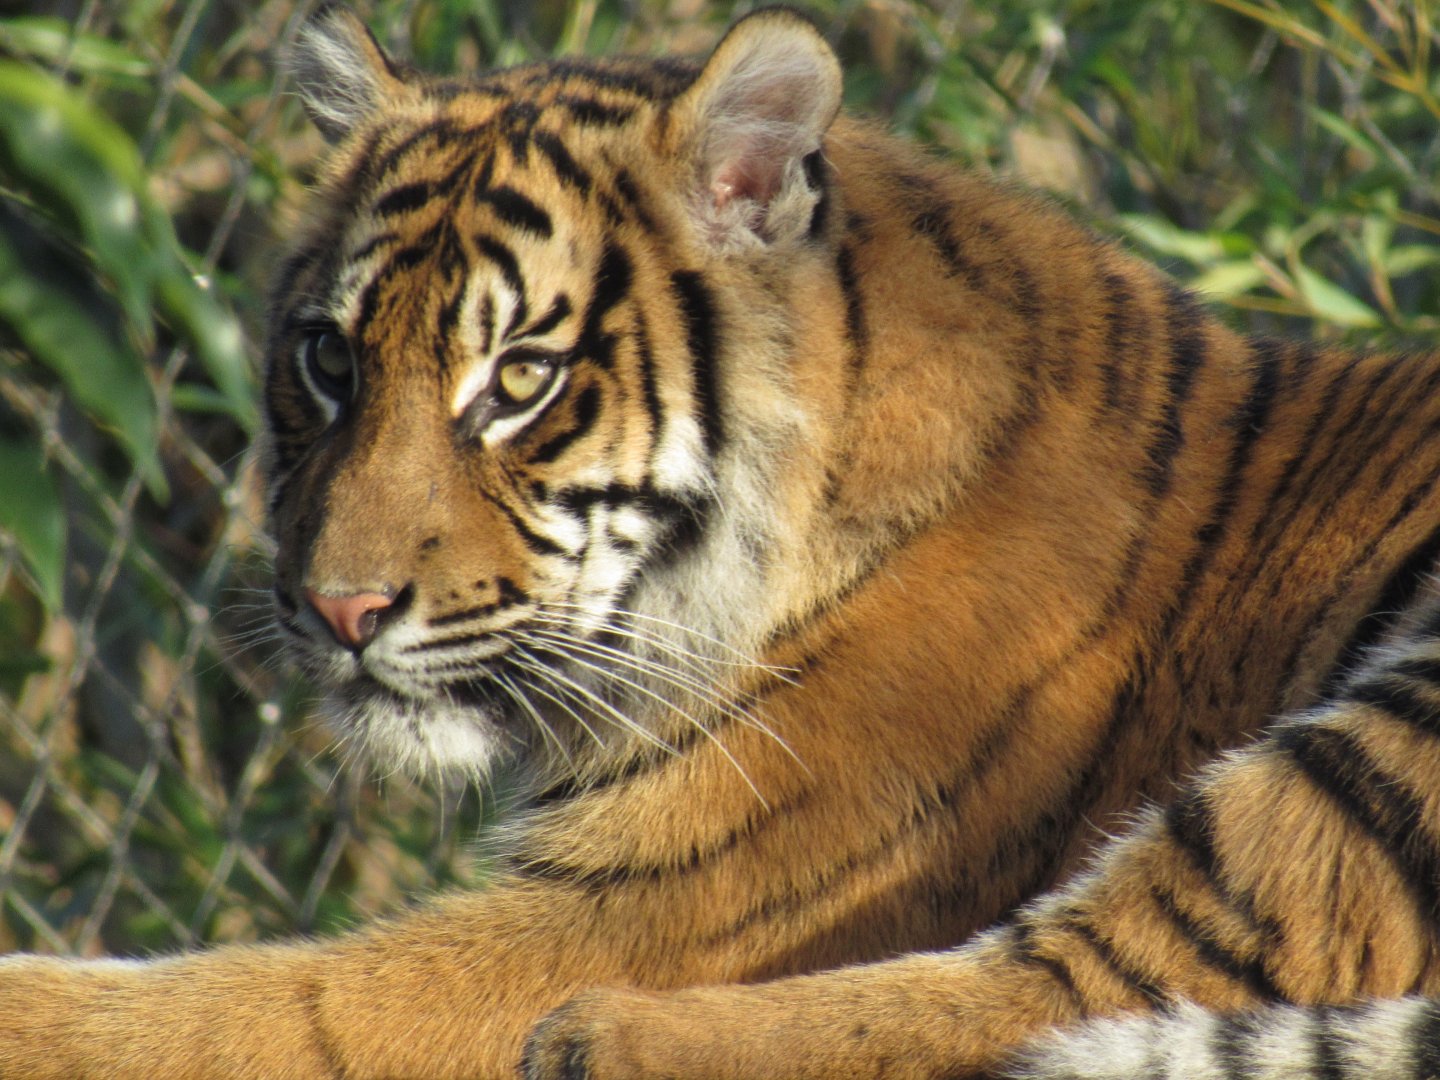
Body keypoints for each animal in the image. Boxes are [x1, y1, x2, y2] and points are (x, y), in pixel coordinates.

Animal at [2, 5, 1440, 1078]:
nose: (337, 612)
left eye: (519, 380)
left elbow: (273, 1006)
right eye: (329, 361)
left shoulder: (660, 903)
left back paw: (597, 1039)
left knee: (1112, 980)